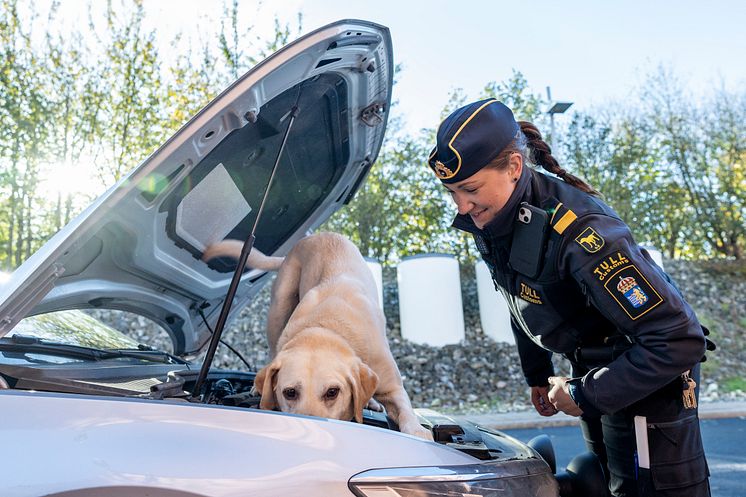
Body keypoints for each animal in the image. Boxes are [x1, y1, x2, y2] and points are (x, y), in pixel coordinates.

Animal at [202, 232, 430, 438]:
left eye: (332, 392)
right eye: (290, 392)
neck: (327, 328)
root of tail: (315, 236)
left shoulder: (393, 387)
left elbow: (406, 412)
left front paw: (418, 431)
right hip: (279, 308)